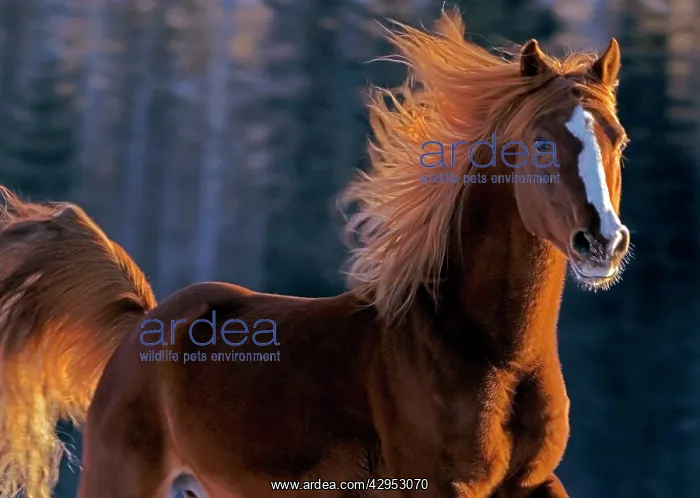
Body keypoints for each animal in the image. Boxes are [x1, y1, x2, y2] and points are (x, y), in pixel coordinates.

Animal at [0, 9, 630, 498]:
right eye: (541, 144)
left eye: (618, 138)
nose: (602, 242)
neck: (493, 356)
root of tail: (141, 325)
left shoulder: (534, 483)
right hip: (125, 476)